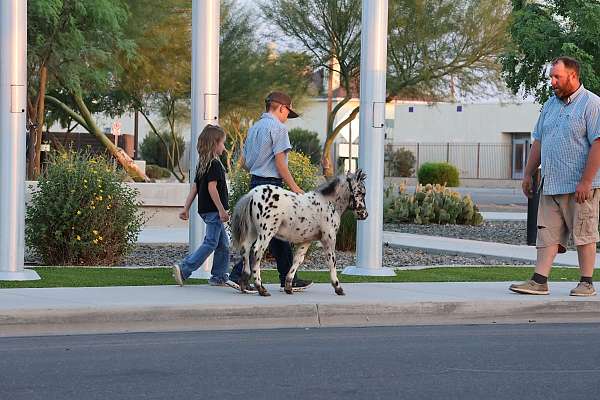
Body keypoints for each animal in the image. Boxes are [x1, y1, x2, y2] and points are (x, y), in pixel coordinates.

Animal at [231, 170, 368, 296]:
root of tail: (252, 194)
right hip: (266, 233)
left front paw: (289, 286)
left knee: (245, 249)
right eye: (362, 192)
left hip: (252, 231)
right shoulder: (329, 238)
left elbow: (298, 260)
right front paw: (338, 287)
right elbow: (332, 261)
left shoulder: (307, 240)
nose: (365, 214)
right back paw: (260, 288)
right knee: (256, 251)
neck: (329, 203)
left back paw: (244, 283)